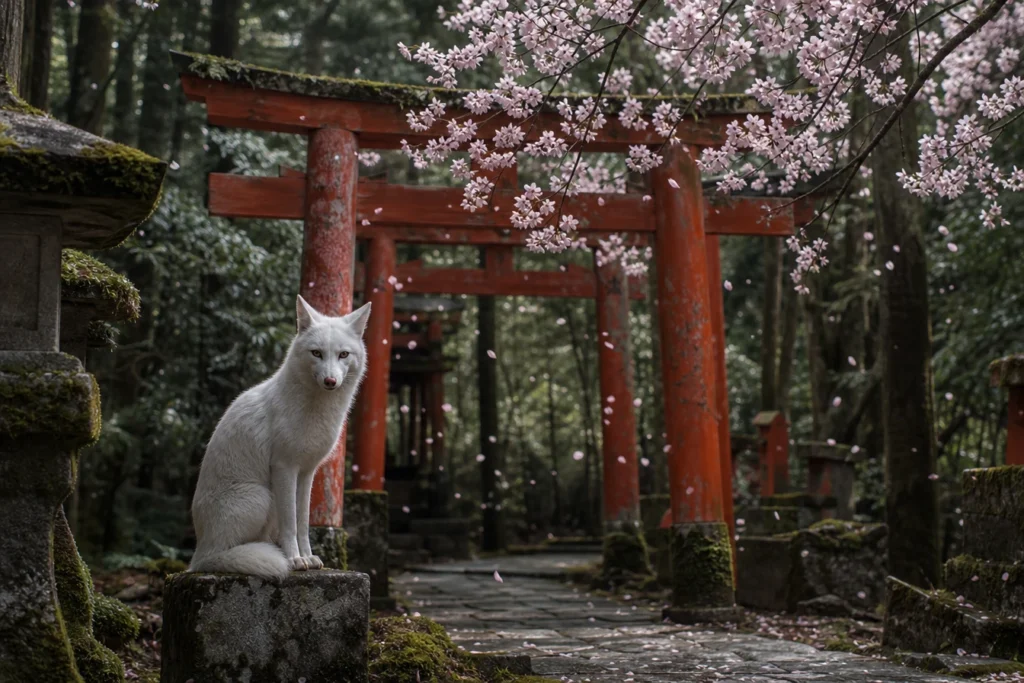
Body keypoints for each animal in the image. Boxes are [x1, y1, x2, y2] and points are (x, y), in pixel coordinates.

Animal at [188, 295, 371, 580]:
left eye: (343, 354)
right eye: (316, 353)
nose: (330, 381)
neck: (316, 410)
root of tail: (198, 554)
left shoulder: (307, 472)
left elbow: (303, 522)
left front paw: (308, 557)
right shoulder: (285, 467)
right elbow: (290, 524)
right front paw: (295, 560)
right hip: (262, 497)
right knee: (223, 555)